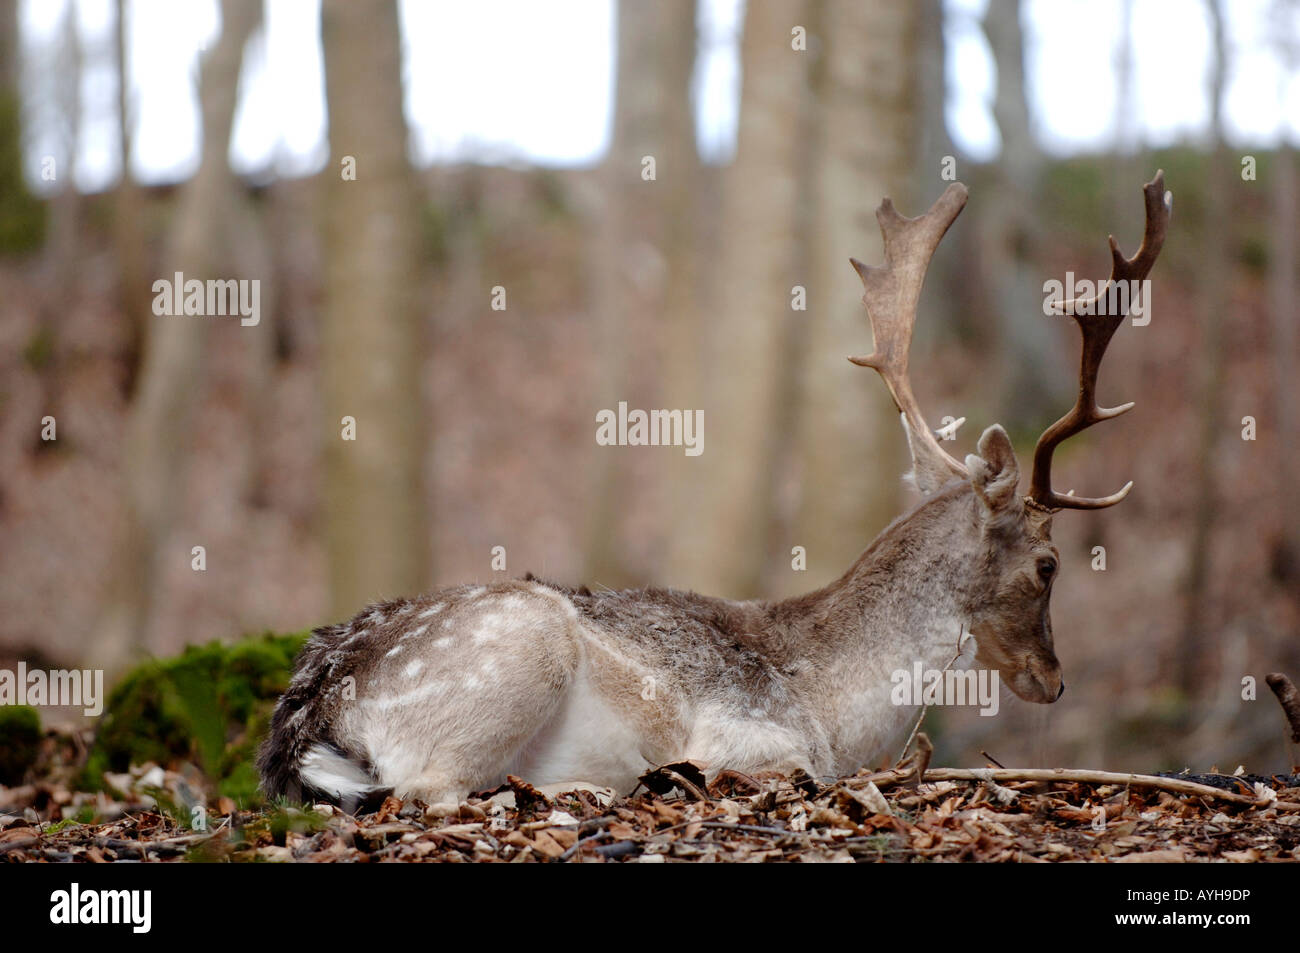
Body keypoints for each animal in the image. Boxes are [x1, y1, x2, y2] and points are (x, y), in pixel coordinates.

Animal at [258, 172, 1175, 811]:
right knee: (433, 789)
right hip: (515, 648)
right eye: (1051, 564)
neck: (832, 706)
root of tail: (309, 718)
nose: (1056, 681)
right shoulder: (753, 735)